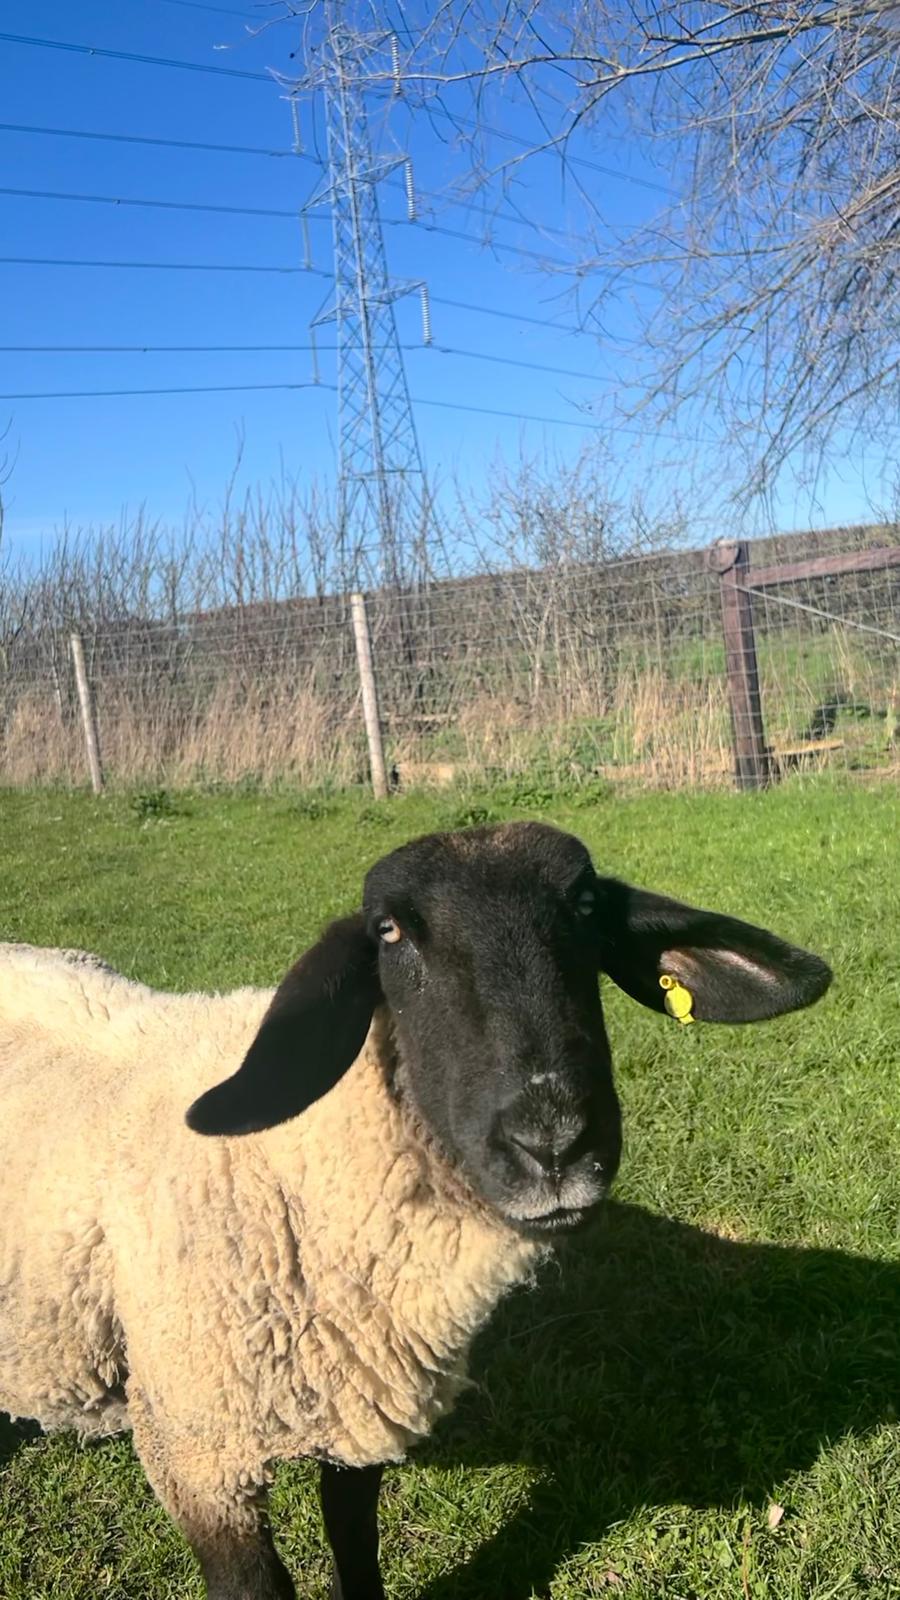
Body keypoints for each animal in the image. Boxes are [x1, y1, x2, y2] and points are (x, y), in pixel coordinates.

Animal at [0, 820, 831, 1600]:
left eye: (588, 906)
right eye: (388, 932)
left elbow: (355, 1542)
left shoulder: (360, 1403)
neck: (301, 1164)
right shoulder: (199, 1450)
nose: (554, 1143)